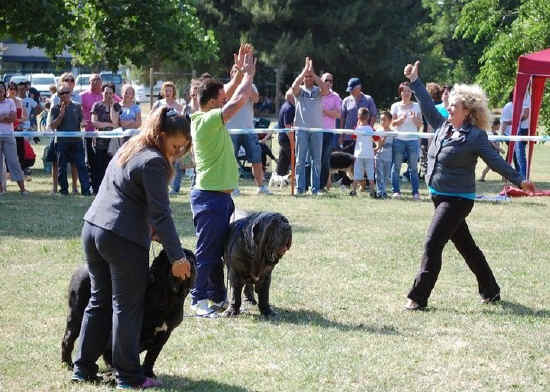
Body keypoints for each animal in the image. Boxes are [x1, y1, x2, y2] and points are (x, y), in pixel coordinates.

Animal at [61, 250, 196, 378]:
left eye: (193, 257)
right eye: (173, 259)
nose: (189, 261)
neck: (168, 298)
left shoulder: (164, 334)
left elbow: (151, 356)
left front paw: (148, 373)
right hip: (76, 316)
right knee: (68, 340)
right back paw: (68, 364)